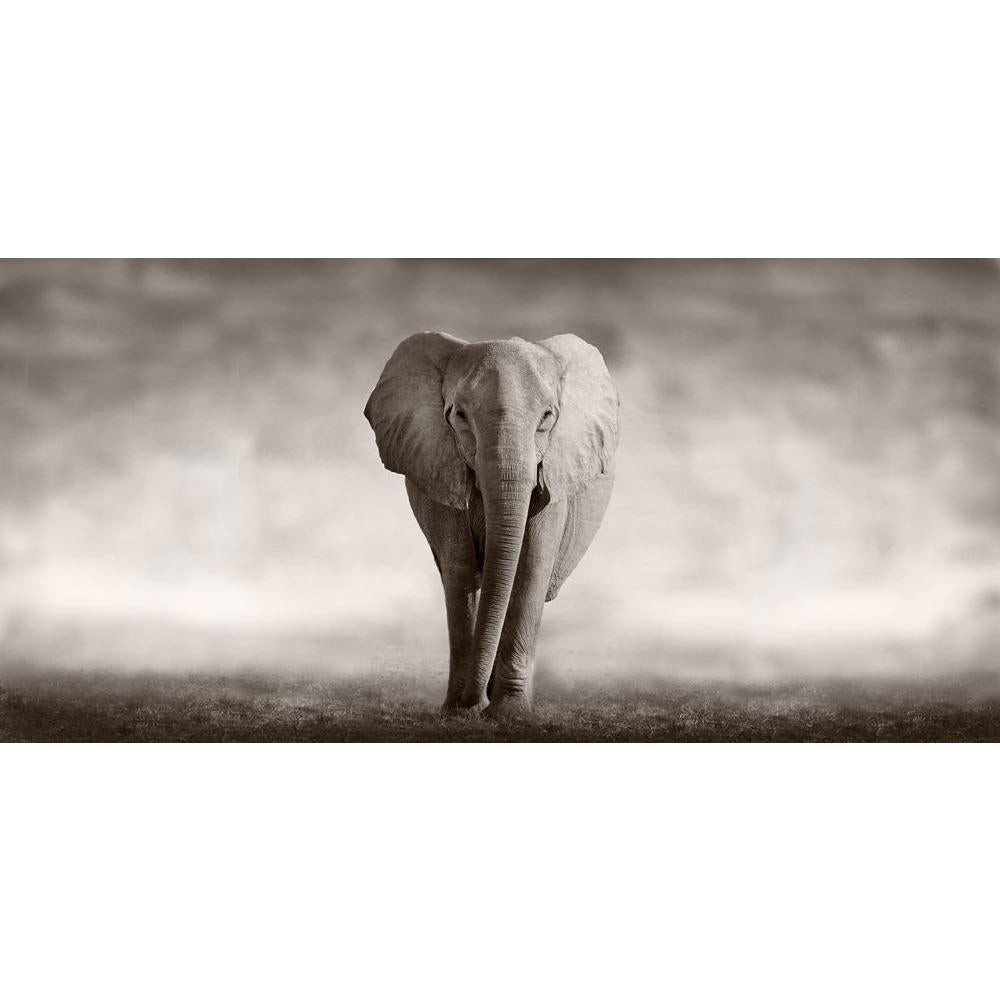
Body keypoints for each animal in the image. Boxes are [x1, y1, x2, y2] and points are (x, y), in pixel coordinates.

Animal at [364, 332, 620, 718]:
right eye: (460, 415)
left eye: (547, 416)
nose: (476, 704)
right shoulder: (440, 467)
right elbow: (461, 570)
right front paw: (460, 712)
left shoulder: (554, 473)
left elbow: (530, 568)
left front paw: (509, 714)